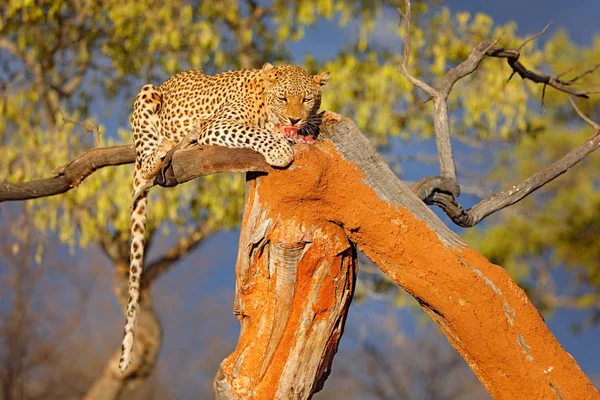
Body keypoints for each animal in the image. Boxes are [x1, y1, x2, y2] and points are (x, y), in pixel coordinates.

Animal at [119, 61, 330, 372]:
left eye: (307, 99)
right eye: (283, 98)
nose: (294, 119)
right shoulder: (217, 124)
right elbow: (253, 133)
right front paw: (279, 149)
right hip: (147, 96)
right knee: (146, 162)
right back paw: (164, 149)